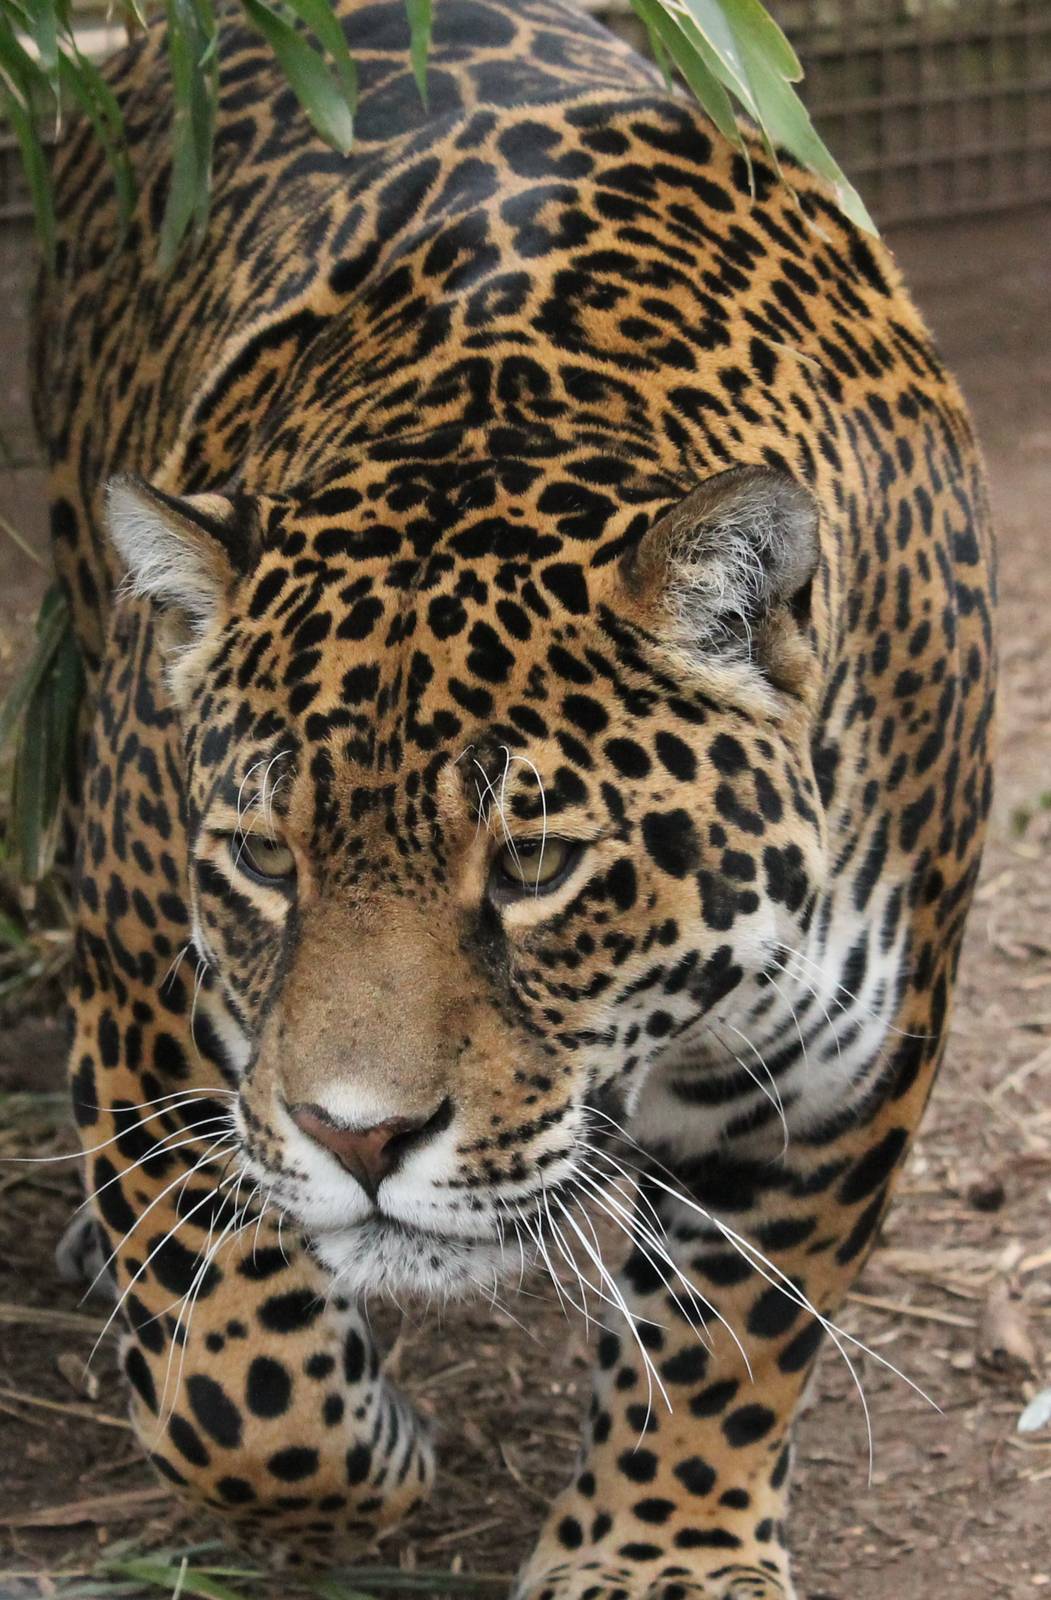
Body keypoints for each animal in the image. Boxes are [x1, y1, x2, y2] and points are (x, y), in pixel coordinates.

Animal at [30, 0, 996, 1592]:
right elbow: (226, 1370)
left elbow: (741, 1325)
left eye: (537, 862)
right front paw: (366, 1456)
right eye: (263, 858)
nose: (358, 1139)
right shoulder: (138, 974)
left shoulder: (843, 1074)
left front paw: (662, 1550)